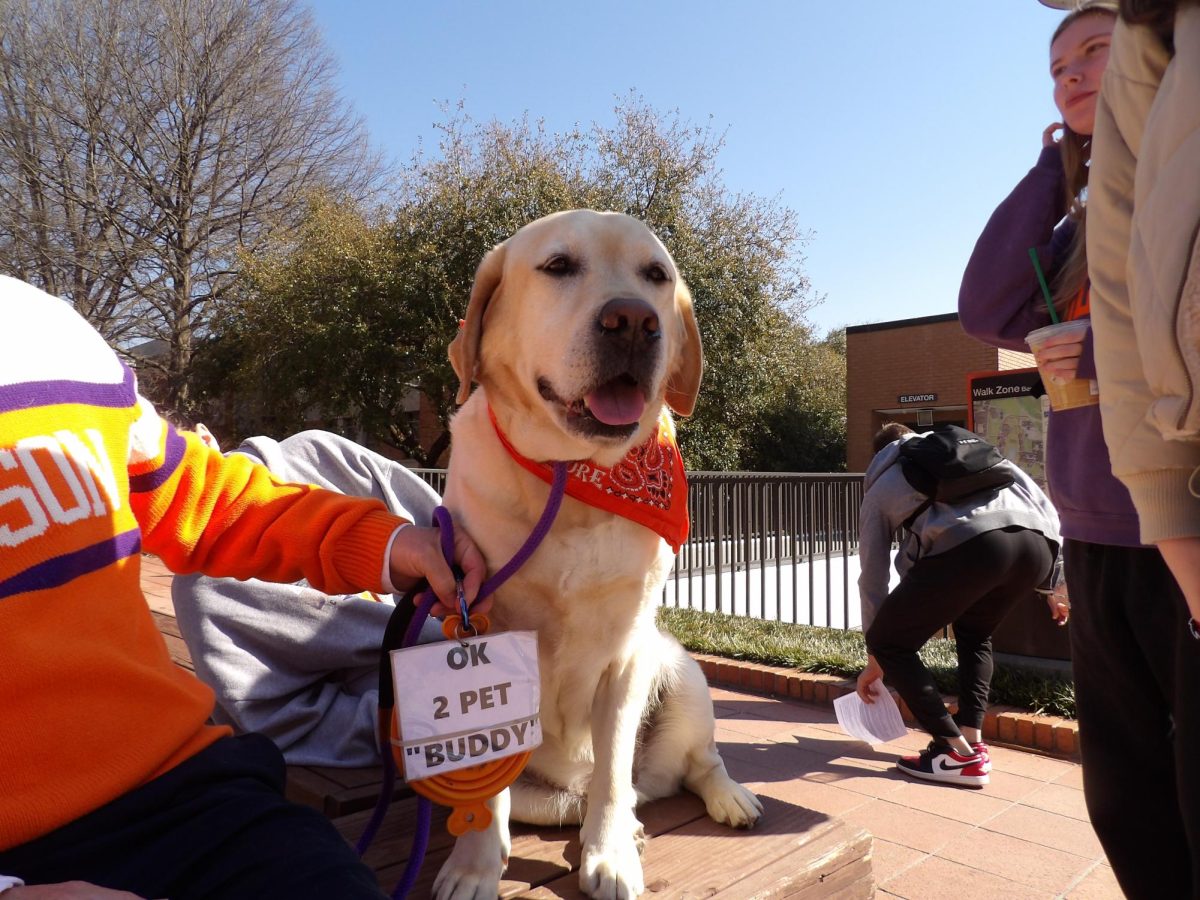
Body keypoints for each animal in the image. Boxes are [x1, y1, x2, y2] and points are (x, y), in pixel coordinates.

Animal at [436, 213, 763, 900]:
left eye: (656, 275)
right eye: (559, 265)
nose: (634, 320)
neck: (572, 478)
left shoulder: (628, 648)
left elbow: (614, 772)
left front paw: (609, 857)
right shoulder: (478, 638)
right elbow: (490, 793)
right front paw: (473, 866)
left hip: (683, 675)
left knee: (685, 767)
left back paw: (721, 799)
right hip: (546, 787)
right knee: (570, 801)